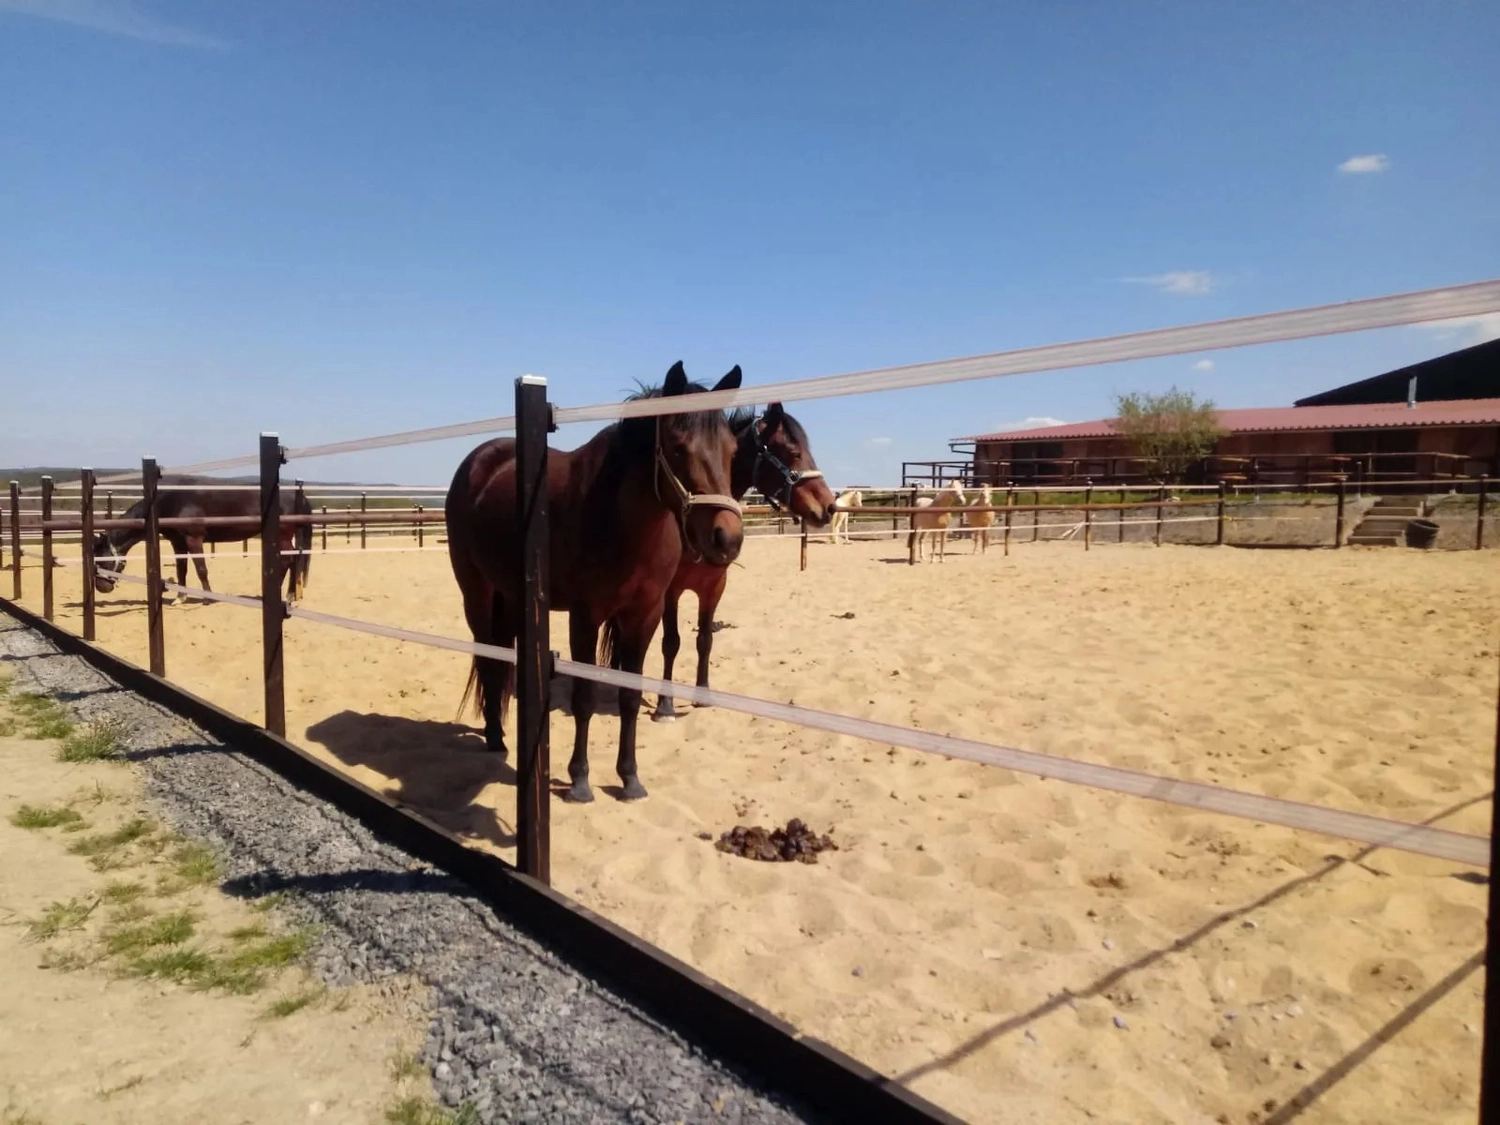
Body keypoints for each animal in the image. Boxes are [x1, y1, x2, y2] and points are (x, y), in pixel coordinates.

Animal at [93, 480, 313, 601]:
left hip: (283, 536)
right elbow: (181, 570)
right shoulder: (178, 543)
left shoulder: (194, 540)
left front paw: (207, 598)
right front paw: (180, 597)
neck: (170, 503)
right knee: (293, 560)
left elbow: (201, 569)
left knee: (287, 561)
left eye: (102, 560)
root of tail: (296, 494)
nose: (101, 587)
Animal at [445, 361, 745, 804]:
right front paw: (579, 780)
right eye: (677, 446)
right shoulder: (585, 617)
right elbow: (584, 699)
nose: (727, 538)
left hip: (514, 597)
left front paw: (630, 778)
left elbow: (630, 696)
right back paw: (496, 738)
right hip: (477, 594)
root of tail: (480, 460)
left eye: (732, 450)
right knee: (488, 658)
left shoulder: (644, 615)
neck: (619, 519)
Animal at [648, 402, 837, 722]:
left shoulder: (714, 587)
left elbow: (704, 640)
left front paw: (703, 695)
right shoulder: (671, 591)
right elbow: (671, 643)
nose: (829, 507)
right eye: (792, 450)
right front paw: (665, 705)